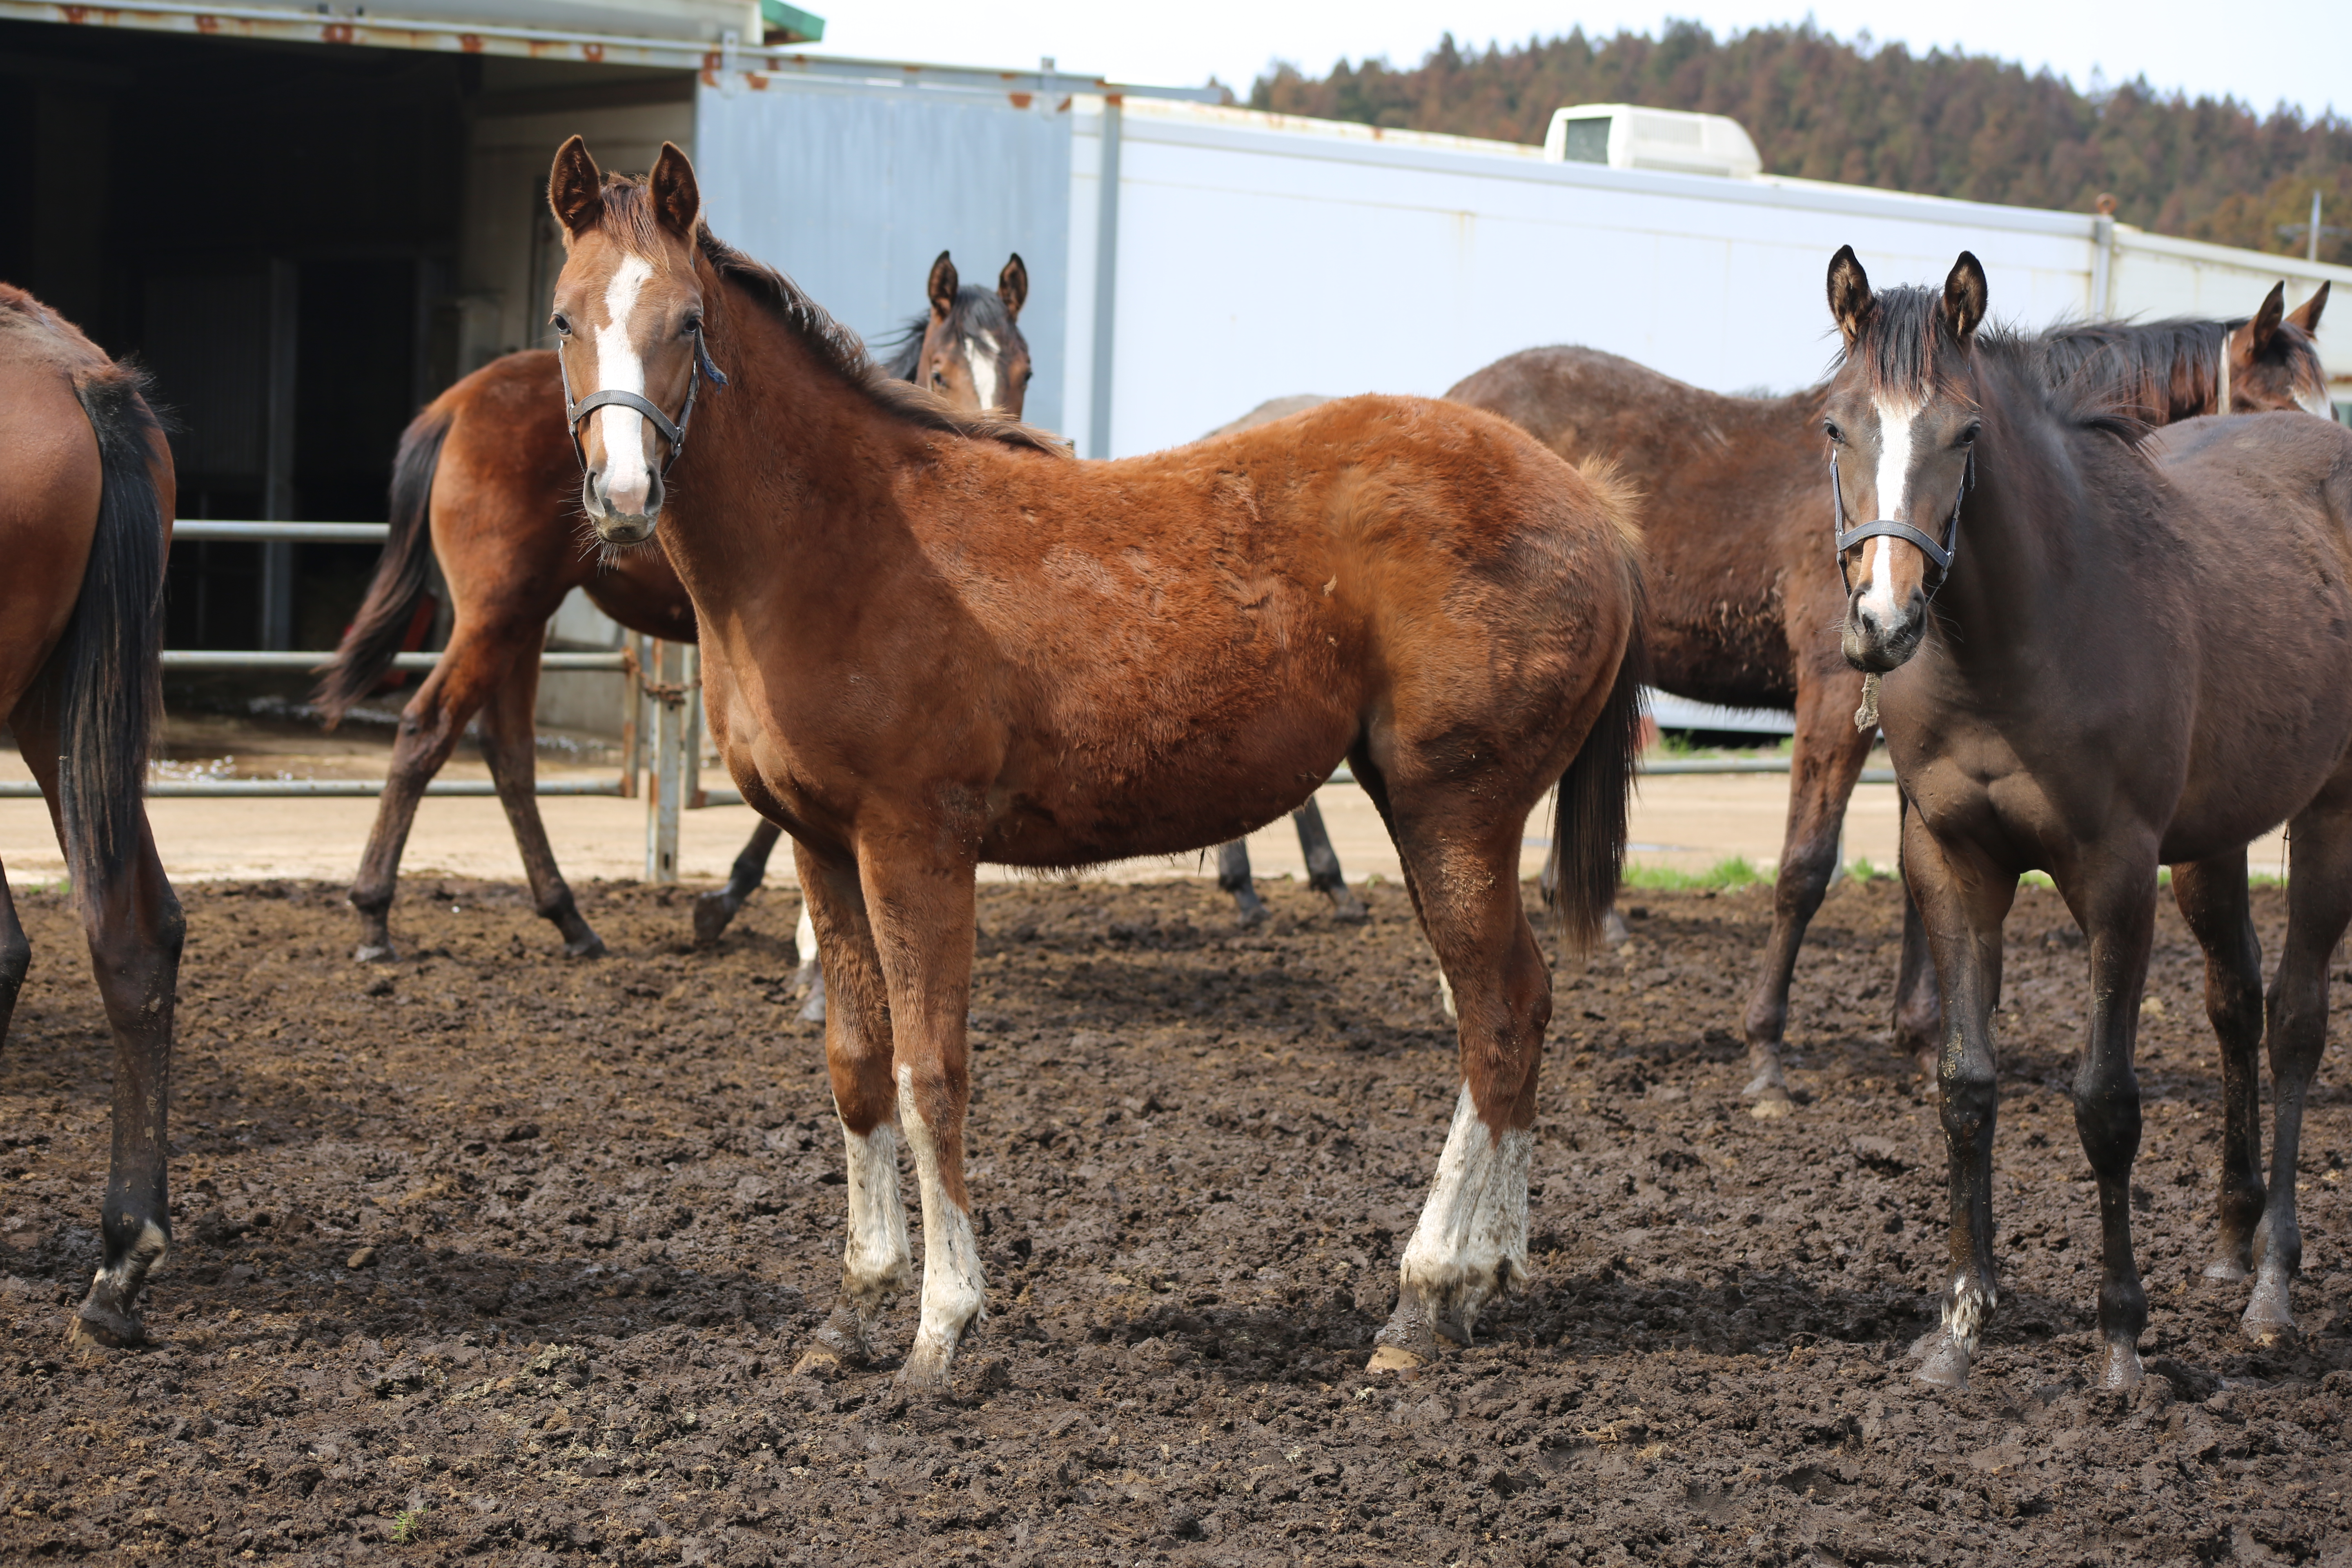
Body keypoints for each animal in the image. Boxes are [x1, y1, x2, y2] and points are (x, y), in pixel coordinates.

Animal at [317, 250, 1035, 964]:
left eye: (1024, 369)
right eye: (940, 371)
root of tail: (457, 402)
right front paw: (739, 906)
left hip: (523, 618)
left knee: (508, 749)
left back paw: (569, 919)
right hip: (496, 616)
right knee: (428, 728)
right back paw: (374, 916)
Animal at [555, 138, 1656, 1382]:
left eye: (687, 321)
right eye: (563, 320)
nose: (623, 496)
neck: (840, 538)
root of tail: (1592, 506)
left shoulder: (915, 845)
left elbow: (930, 1072)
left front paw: (941, 1324)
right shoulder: (820, 846)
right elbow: (854, 1064)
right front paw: (852, 1308)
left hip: (1453, 810)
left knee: (1499, 1014)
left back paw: (1422, 1299)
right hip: (1436, 814)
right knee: (1515, 1011)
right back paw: (1488, 1277)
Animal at [1825, 252, 2352, 1392]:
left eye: (1964, 433)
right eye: (1835, 425)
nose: (1881, 623)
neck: (2018, 634)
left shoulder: (2114, 874)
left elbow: (2104, 1104)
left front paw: (2119, 1338)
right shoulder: (1950, 859)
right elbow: (1966, 1087)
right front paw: (1959, 1324)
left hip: (2330, 814)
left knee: (2294, 1023)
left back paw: (2272, 1285)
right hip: (2214, 840)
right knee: (2235, 1004)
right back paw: (2229, 1242)